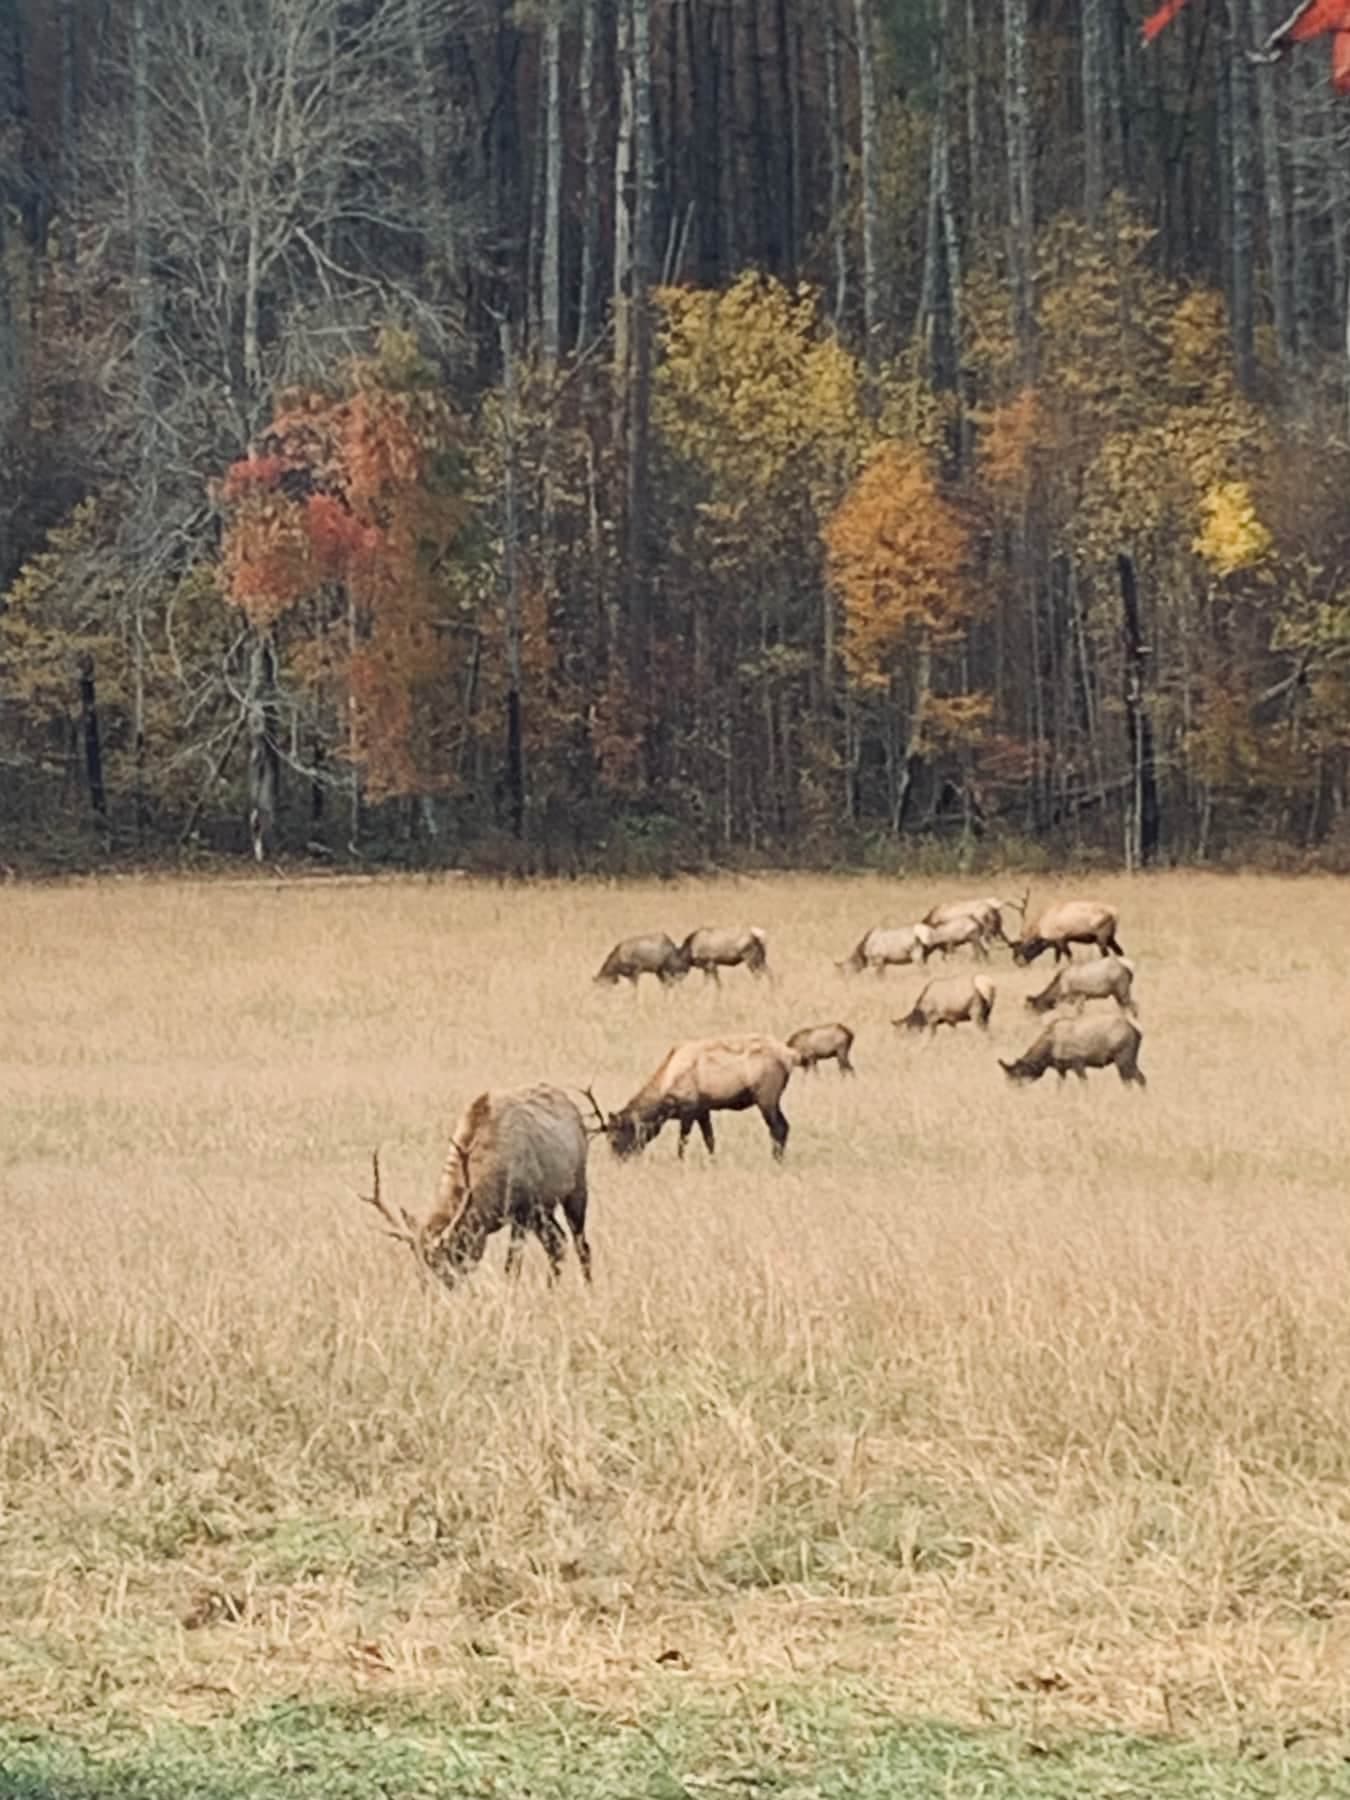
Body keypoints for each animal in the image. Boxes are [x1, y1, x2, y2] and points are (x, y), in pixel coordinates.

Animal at [357, 1084, 593, 1289]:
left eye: (451, 1258)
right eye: (419, 1268)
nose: (432, 1294)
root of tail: (572, 1106)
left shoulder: (522, 1212)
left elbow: (511, 1267)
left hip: (576, 1189)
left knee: (581, 1245)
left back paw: (587, 1287)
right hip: (545, 1210)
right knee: (557, 1243)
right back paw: (551, 1288)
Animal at [601, 1034, 798, 1161]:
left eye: (614, 1140)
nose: (617, 1162)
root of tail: (790, 1056)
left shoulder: (688, 1109)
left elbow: (683, 1141)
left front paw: (680, 1161)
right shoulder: (703, 1110)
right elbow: (710, 1140)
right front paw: (713, 1161)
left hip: (766, 1097)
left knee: (779, 1127)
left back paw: (776, 1159)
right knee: (784, 1126)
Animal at [1000, 1015, 1146, 1087]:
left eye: (1017, 1074)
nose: (1010, 1089)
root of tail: (1138, 1032)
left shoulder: (1078, 1063)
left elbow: (1084, 1085)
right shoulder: (1061, 1068)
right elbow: (1059, 1087)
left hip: (1123, 1058)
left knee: (1138, 1079)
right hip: (1128, 1060)